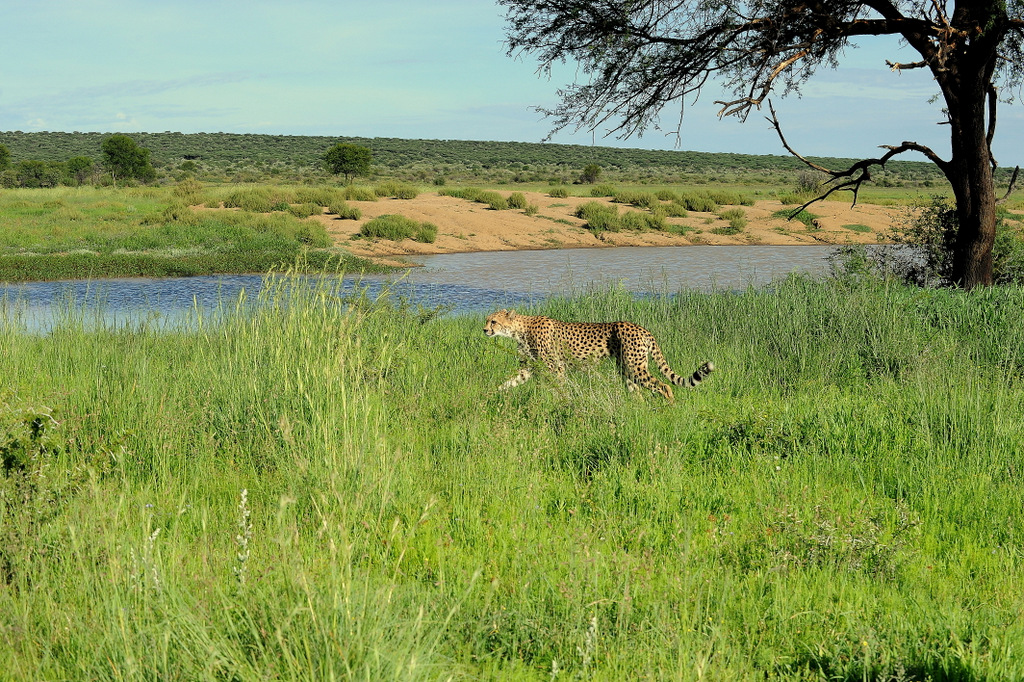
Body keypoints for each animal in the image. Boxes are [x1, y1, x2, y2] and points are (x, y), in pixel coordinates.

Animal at [481, 309, 712, 401]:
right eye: (487, 320)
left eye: (493, 321)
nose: (484, 330)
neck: (520, 329)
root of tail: (641, 328)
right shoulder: (529, 368)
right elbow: (508, 382)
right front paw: (489, 396)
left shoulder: (556, 367)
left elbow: (559, 388)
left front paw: (560, 404)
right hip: (626, 369)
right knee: (637, 392)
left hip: (636, 366)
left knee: (664, 386)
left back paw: (670, 409)